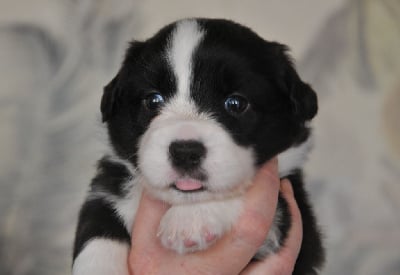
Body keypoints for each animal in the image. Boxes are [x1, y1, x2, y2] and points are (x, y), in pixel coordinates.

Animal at [72, 18, 324, 274]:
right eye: (153, 100)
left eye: (236, 103)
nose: (185, 152)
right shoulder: (106, 190)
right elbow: (99, 228)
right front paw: (98, 266)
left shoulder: (294, 226)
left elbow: (273, 207)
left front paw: (190, 219)